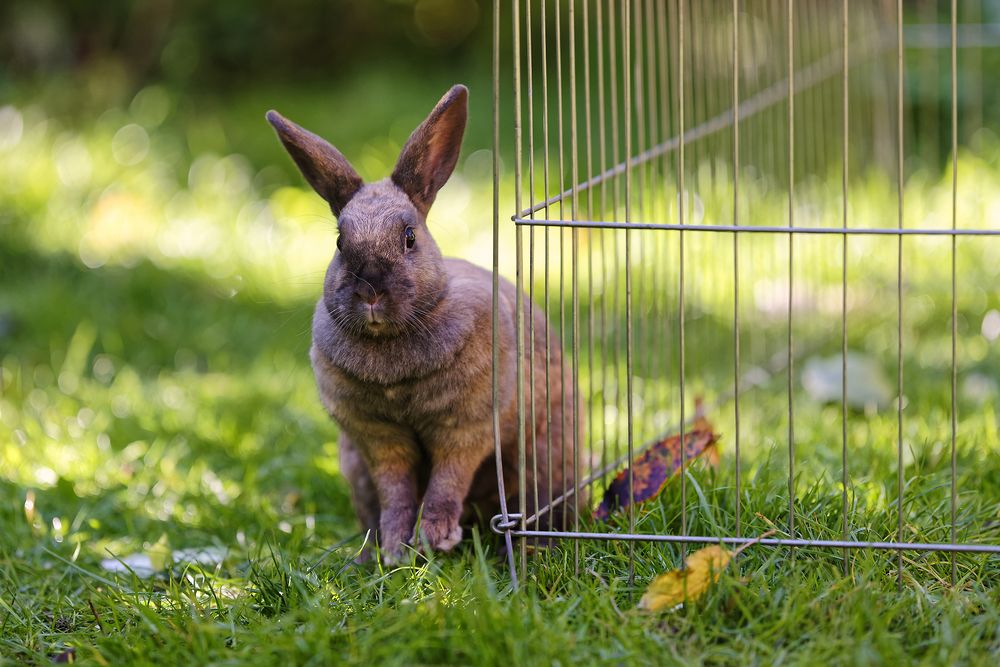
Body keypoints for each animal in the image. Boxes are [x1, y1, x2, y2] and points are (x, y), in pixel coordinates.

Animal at [268, 83, 580, 564]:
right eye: (340, 242)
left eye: (409, 238)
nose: (371, 293)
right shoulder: (378, 440)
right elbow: (396, 490)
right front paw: (398, 548)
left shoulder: (466, 427)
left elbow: (447, 480)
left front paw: (435, 537)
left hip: (542, 460)